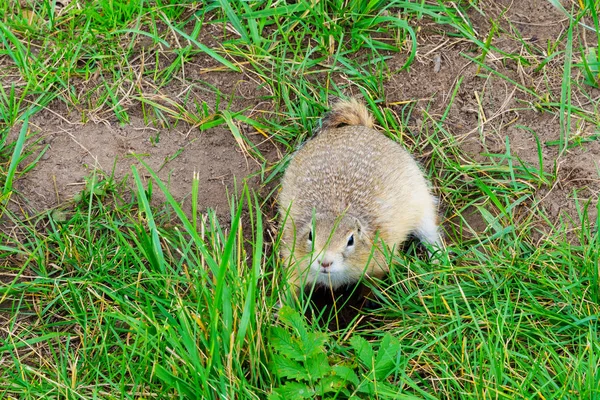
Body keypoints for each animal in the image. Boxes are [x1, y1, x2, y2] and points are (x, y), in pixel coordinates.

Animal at [278, 98, 440, 296]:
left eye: (351, 240)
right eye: (310, 235)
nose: (325, 262)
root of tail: (362, 127)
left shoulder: (378, 261)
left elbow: (372, 286)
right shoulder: (294, 258)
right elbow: (289, 287)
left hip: (422, 202)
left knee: (432, 234)